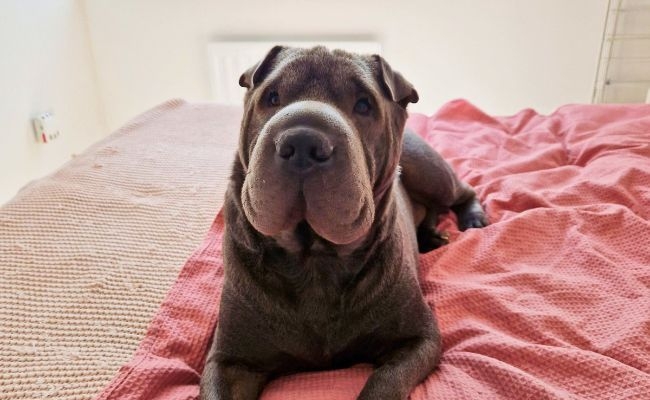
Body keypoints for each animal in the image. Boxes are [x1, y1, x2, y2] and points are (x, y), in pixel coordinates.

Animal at [200, 46, 484, 400]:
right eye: (272, 97)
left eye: (363, 105)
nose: (303, 142)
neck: (314, 259)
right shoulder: (230, 361)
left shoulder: (419, 338)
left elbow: (384, 383)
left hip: (430, 171)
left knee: (463, 191)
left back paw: (473, 219)